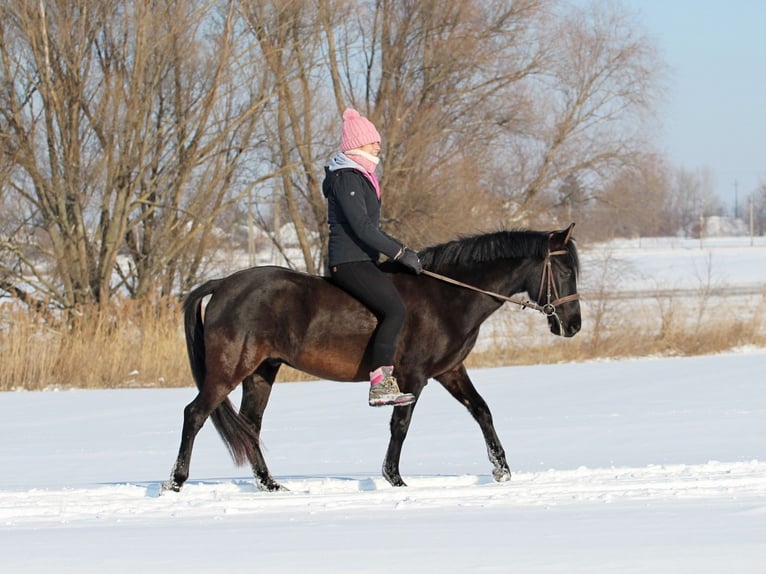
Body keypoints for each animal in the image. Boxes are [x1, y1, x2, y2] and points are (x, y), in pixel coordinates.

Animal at [162, 224, 581, 493]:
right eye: (563, 269)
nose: (573, 325)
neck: (447, 297)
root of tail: (224, 284)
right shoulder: (414, 376)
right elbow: (401, 425)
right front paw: (394, 478)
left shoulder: (449, 371)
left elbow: (482, 411)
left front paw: (502, 470)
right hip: (230, 368)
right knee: (195, 414)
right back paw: (176, 481)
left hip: (261, 371)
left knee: (250, 425)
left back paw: (269, 484)